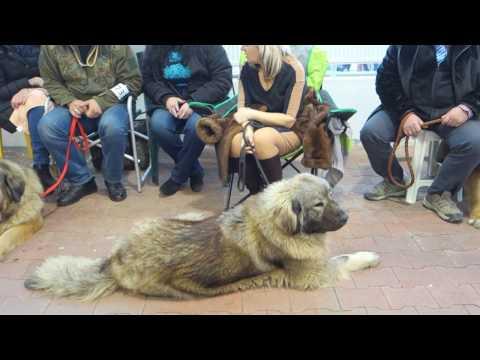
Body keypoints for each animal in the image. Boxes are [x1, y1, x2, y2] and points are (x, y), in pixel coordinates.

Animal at [24, 174, 380, 300]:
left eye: (331, 195)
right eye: (318, 205)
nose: (346, 217)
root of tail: (115, 260)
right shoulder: (314, 274)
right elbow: (345, 257)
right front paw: (370, 256)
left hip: (187, 218)